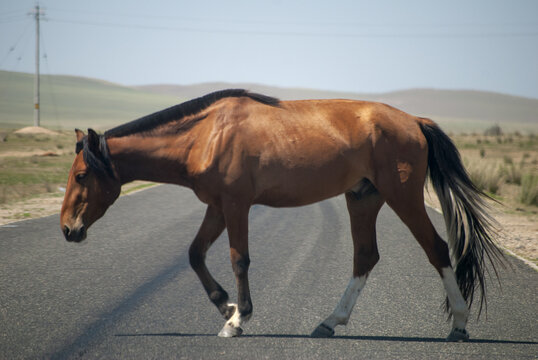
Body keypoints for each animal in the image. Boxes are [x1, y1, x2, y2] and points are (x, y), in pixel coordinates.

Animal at [60, 89, 500, 340]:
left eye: (81, 175)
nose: (67, 229)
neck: (205, 135)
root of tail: (415, 122)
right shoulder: (216, 206)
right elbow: (195, 254)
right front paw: (225, 306)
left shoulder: (236, 205)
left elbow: (239, 260)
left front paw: (238, 319)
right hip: (363, 199)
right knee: (365, 257)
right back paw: (330, 322)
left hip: (402, 197)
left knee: (437, 249)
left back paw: (460, 324)